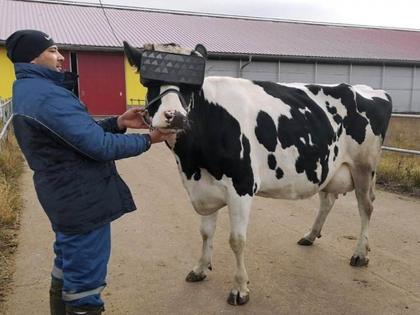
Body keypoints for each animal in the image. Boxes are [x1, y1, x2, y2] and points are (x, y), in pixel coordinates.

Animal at [123, 42, 392, 306]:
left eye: (191, 87)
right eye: (149, 83)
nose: (174, 116)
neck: (192, 163)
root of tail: (371, 90)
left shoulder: (241, 186)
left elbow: (237, 240)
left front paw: (240, 288)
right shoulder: (204, 188)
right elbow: (205, 233)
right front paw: (200, 269)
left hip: (364, 167)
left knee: (366, 207)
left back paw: (360, 253)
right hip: (328, 167)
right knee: (327, 200)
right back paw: (310, 235)